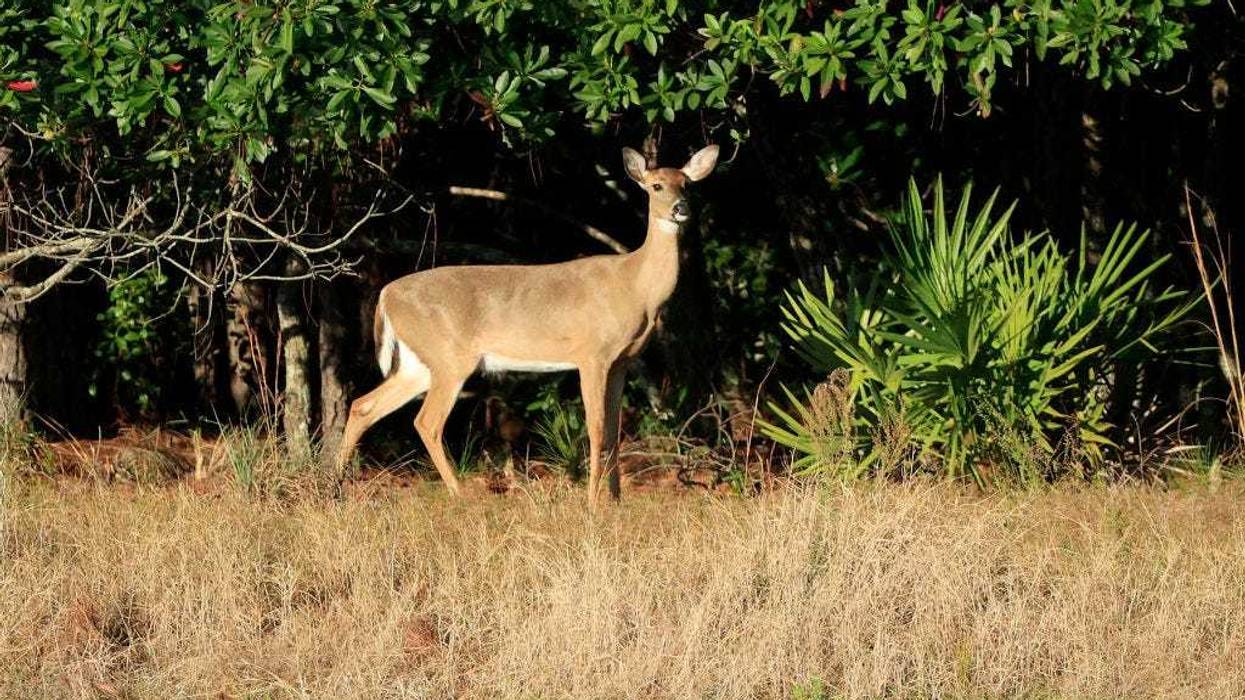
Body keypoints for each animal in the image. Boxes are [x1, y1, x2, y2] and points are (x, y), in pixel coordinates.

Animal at [334, 144, 720, 508]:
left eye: (686, 184)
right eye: (656, 186)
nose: (681, 208)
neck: (636, 286)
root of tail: (386, 295)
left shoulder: (622, 360)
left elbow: (613, 430)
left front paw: (615, 501)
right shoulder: (592, 353)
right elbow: (596, 428)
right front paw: (593, 503)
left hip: (420, 361)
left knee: (364, 405)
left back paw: (334, 490)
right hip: (449, 357)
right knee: (426, 421)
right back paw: (461, 495)